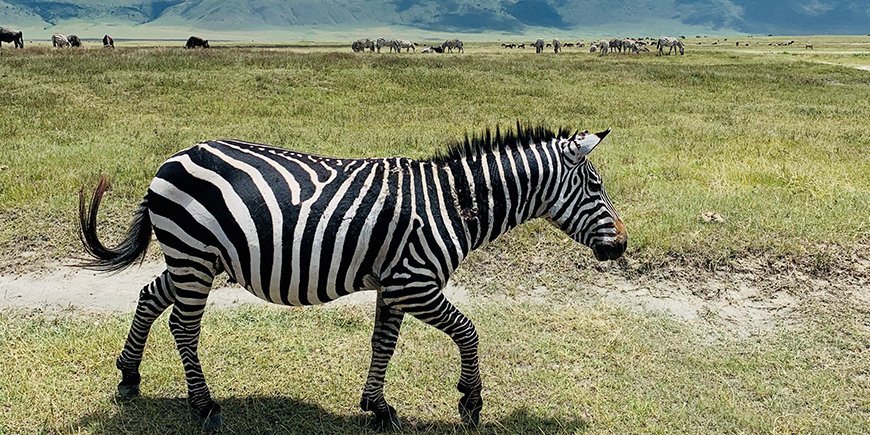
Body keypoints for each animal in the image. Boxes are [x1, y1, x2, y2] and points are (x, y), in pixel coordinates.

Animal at [78, 125, 626, 432]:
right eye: (595, 186)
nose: (621, 246)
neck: (453, 204)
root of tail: (173, 159)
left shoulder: (394, 284)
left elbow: (383, 343)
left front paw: (377, 407)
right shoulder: (415, 283)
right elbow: (468, 331)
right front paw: (470, 402)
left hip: (195, 258)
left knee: (150, 296)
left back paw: (129, 378)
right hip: (193, 256)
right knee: (183, 327)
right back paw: (204, 406)